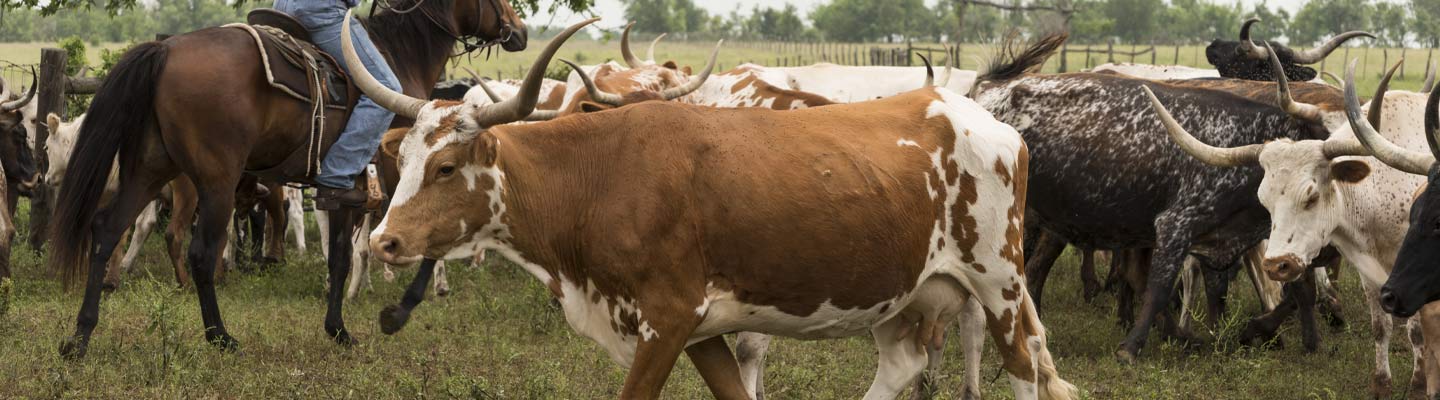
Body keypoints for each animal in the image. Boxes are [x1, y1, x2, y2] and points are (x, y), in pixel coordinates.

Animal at [49, 0, 529, 358]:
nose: (520, 31)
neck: (400, 58)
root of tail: (165, 52)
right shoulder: (398, 177)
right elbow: (402, 246)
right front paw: (385, 314)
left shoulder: (346, 190)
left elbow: (339, 257)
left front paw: (338, 328)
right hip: (216, 181)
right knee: (200, 252)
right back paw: (220, 337)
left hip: (150, 169)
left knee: (107, 230)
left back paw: (79, 337)